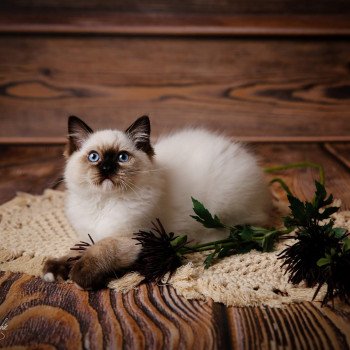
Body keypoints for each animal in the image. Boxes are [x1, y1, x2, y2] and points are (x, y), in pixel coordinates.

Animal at [42, 116, 272, 288]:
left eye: (122, 158)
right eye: (94, 157)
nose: (107, 168)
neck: (104, 203)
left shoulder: (131, 238)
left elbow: (102, 249)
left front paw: (79, 274)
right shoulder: (88, 235)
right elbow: (74, 252)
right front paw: (54, 270)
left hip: (222, 210)